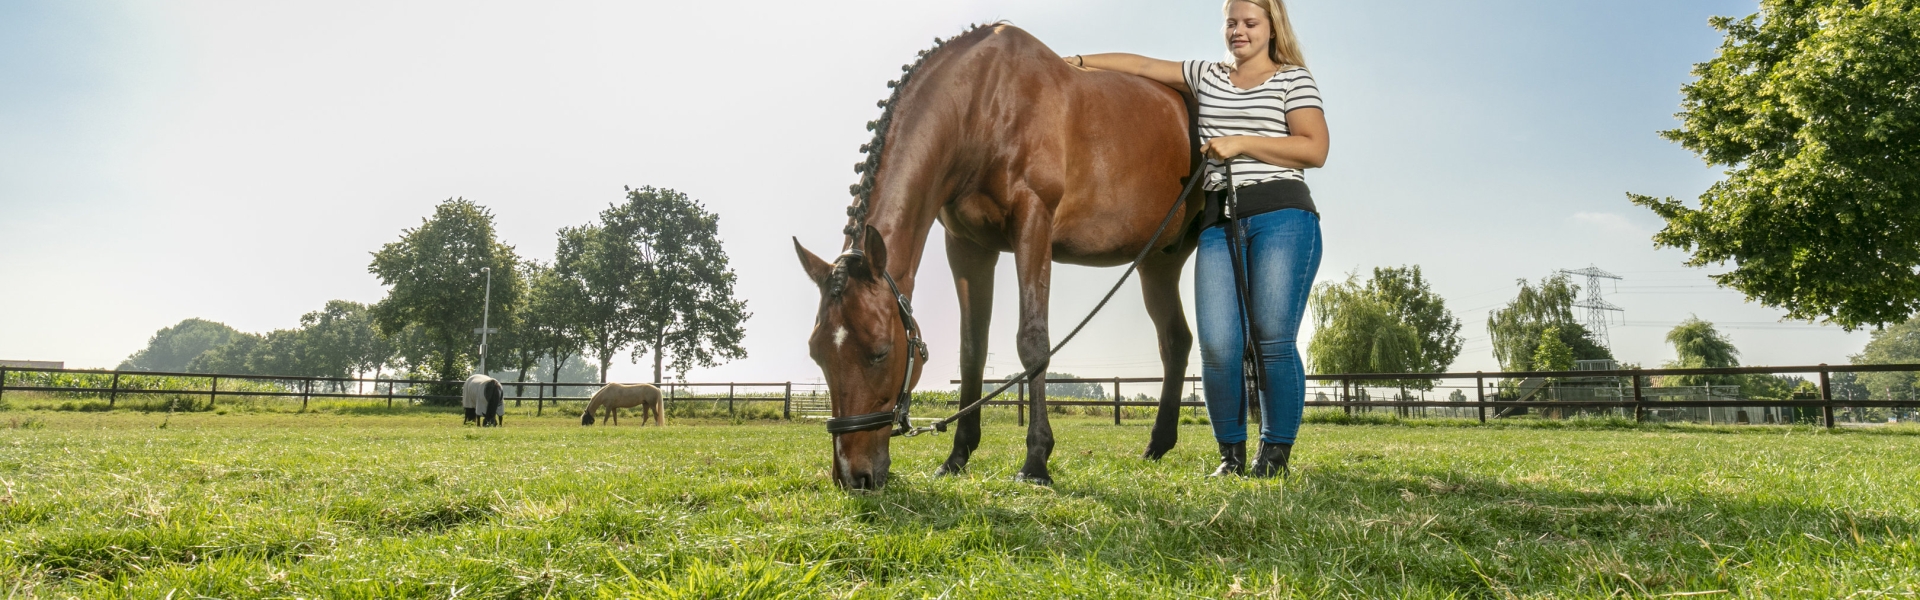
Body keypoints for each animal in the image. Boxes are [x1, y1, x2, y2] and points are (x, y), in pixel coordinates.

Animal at [793, 23, 1201, 490]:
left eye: (880, 351)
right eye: (817, 353)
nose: (852, 476)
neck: (981, 105)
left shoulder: (1033, 222)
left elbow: (1033, 342)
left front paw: (1037, 461)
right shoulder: (969, 246)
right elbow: (972, 349)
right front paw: (957, 456)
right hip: (1160, 260)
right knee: (1175, 340)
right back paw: (1157, 445)